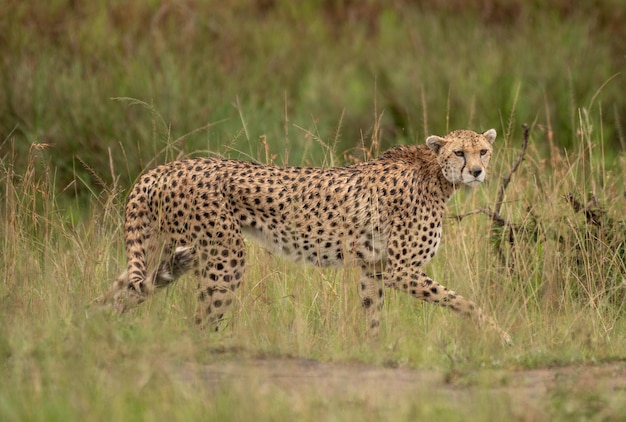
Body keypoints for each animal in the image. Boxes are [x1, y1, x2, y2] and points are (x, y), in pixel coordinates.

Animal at [100, 128, 512, 342]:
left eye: (484, 151)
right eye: (459, 153)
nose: (477, 171)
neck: (434, 173)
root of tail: (165, 167)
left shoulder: (374, 269)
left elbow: (373, 314)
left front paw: (375, 350)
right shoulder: (400, 269)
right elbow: (464, 302)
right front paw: (499, 336)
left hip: (166, 247)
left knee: (120, 291)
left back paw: (90, 325)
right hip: (225, 256)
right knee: (200, 320)